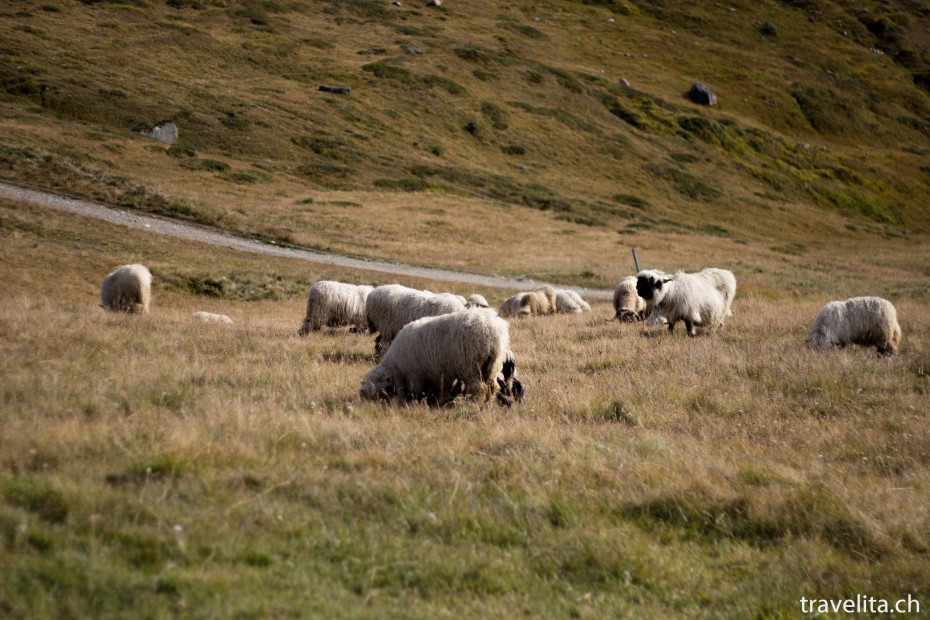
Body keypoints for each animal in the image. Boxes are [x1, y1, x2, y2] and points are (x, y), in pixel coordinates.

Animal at [358, 308, 520, 406]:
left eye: (377, 385)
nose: (361, 395)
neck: (396, 367)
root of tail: (491, 329)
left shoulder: (416, 376)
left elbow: (418, 393)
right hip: (493, 365)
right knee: (492, 386)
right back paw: (487, 403)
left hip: (471, 366)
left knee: (477, 387)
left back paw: (474, 403)